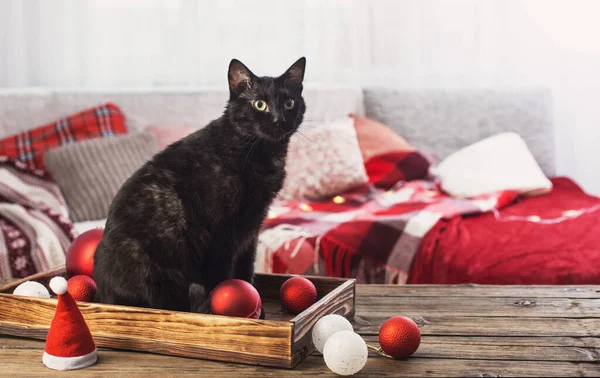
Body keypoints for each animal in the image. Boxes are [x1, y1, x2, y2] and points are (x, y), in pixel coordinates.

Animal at [95, 57, 308, 312]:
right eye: (259, 104)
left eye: (289, 103)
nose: (279, 119)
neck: (260, 151)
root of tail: (102, 295)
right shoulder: (221, 230)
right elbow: (223, 276)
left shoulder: (252, 225)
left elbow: (246, 269)